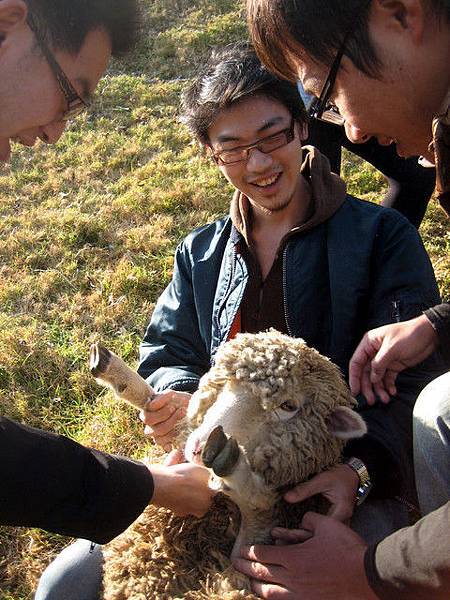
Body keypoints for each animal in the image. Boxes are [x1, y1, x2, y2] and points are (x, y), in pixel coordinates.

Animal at [89, 330, 368, 596]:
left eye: (288, 405)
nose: (201, 447)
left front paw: (238, 475)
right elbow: (156, 402)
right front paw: (116, 372)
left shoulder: (260, 555)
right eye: (224, 381)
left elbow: (258, 523)